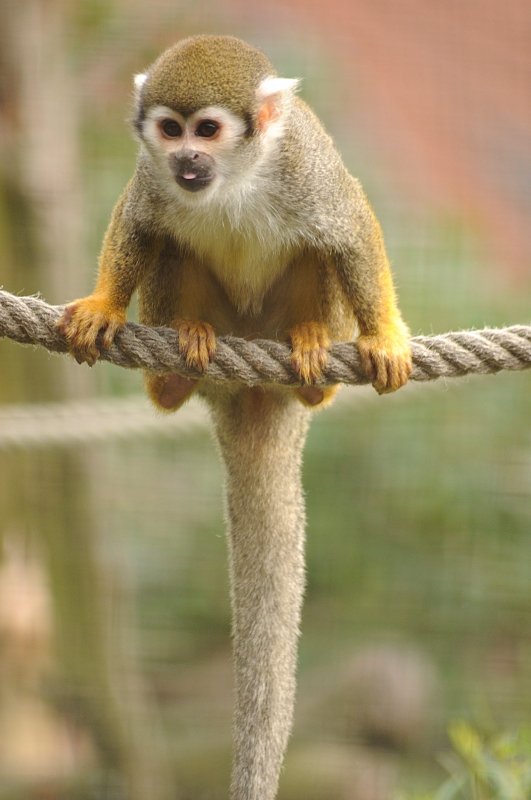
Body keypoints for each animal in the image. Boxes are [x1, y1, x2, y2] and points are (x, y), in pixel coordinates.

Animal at [57, 35, 412, 800]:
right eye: (170, 130)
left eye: (209, 130)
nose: (187, 160)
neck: (235, 180)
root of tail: (250, 392)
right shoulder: (149, 176)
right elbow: (138, 225)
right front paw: (103, 303)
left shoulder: (304, 165)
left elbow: (349, 227)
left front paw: (386, 334)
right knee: (171, 247)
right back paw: (175, 368)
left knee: (318, 254)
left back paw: (311, 355)